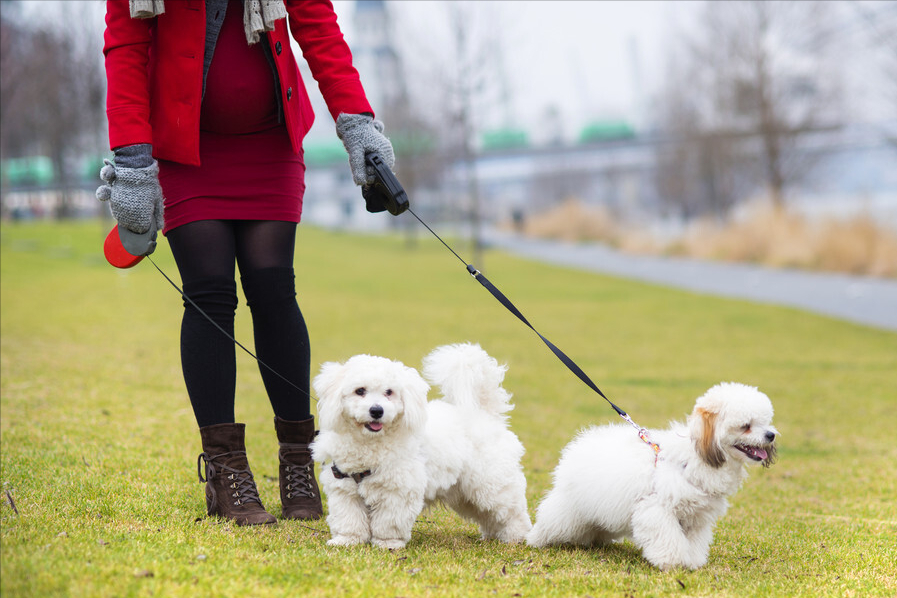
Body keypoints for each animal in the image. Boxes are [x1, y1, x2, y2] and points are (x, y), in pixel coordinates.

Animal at [310, 344, 532, 552]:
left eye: (389, 392)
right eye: (360, 391)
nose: (376, 410)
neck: (371, 443)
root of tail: (486, 414)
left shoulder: (398, 491)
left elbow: (388, 522)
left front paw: (388, 544)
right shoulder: (344, 489)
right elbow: (349, 518)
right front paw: (347, 541)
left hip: (492, 485)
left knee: (513, 513)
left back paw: (517, 538)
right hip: (466, 494)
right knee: (489, 516)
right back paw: (493, 537)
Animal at [524, 384, 776, 572]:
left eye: (766, 422)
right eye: (746, 426)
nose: (771, 435)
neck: (694, 458)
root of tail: (581, 442)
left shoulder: (697, 517)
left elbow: (694, 542)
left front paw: (692, 561)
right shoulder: (657, 510)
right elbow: (668, 539)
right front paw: (673, 562)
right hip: (568, 509)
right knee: (552, 521)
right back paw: (535, 539)